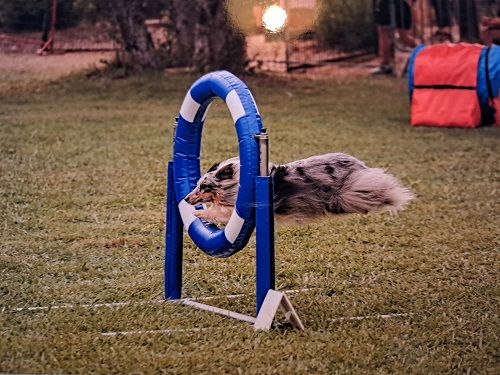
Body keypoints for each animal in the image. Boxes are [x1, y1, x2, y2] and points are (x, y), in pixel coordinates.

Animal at [186, 153, 412, 226]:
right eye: (197, 185)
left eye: (203, 186)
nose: (186, 199)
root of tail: (359, 164)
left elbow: (219, 212)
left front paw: (201, 214)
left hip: (348, 192)